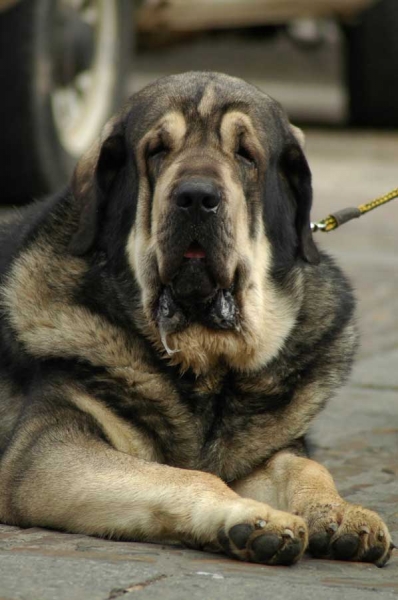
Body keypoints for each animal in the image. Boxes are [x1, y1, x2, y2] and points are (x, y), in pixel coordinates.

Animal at [0, 71, 392, 568]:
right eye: (156, 150)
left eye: (245, 154)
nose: (196, 197)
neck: (209, 366)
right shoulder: (44, 454)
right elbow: (189, 476)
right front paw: (254, 519)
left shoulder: (266, 454)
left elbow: (305, 465)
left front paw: (340, 512)